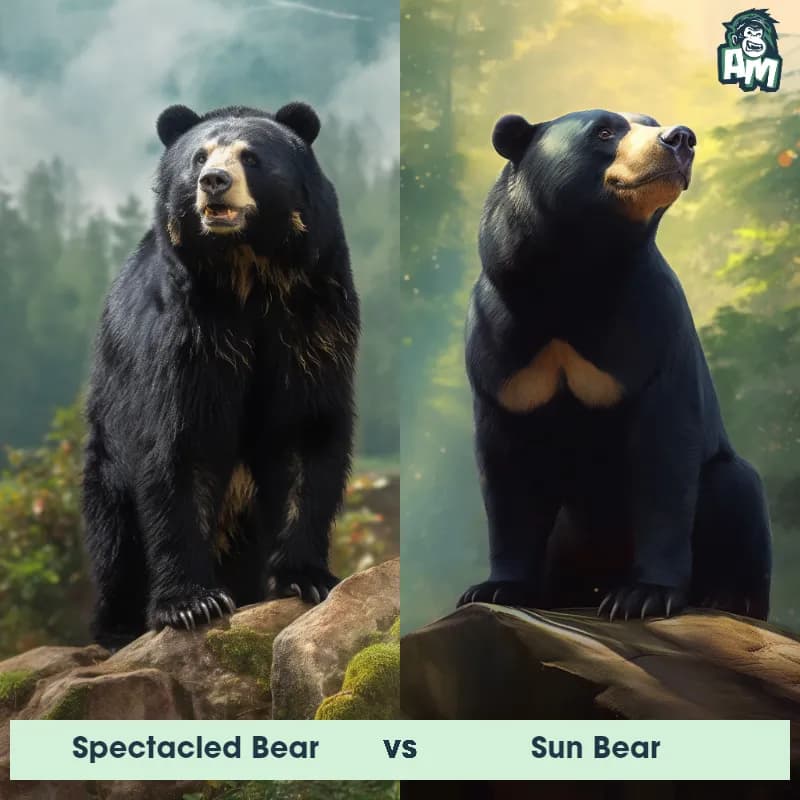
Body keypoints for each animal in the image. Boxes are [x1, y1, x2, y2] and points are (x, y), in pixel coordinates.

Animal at [83, 101, 359, 649]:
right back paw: (118, 626)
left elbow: (306, 433)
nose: (213, 182)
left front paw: (307, 577)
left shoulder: (313, 319)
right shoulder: (186, 333)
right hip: (108, 443)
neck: (246, 271)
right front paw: (192, 603)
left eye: (251, 157)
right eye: (199, 156)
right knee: (115, 532)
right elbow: (180, 443)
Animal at [458, 109, 771, 620]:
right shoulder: (500, 345)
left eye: (653, 122)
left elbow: (665, 454)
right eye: (604, 131)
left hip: (722, 485)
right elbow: (506, 471)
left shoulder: (652, 322)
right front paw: (495, 589)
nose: (681, 138)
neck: (575, 269)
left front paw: (644, 596)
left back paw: (726, 597)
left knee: (738, 492)